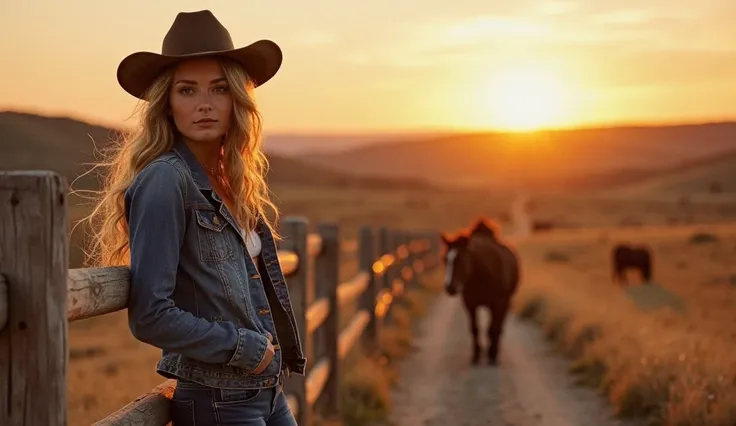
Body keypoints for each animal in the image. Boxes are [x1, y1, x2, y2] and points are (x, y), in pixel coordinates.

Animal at [440, 218, 520, 364]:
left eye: (461, 259)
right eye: (444, 260)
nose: (450, 287)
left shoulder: (499, 303)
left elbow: (494, 328)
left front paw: (492, 355)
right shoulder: (470, 304)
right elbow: (475, 329)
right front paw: (476, 355)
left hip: (503, 304)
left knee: (498, 326)